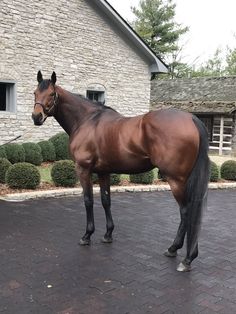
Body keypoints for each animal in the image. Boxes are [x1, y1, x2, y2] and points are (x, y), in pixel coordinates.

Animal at [31, 70, 210, 272]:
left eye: (52, 94)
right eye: (35, 93)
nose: (36, 117)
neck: (86, 121)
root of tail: (191, 119)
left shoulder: (83, 169)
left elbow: (88, 201)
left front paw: (87, 236)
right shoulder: (103, 172)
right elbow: (106, 201)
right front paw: (108, 234)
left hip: (176, 180)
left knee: (185, 212)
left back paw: (182, 256)